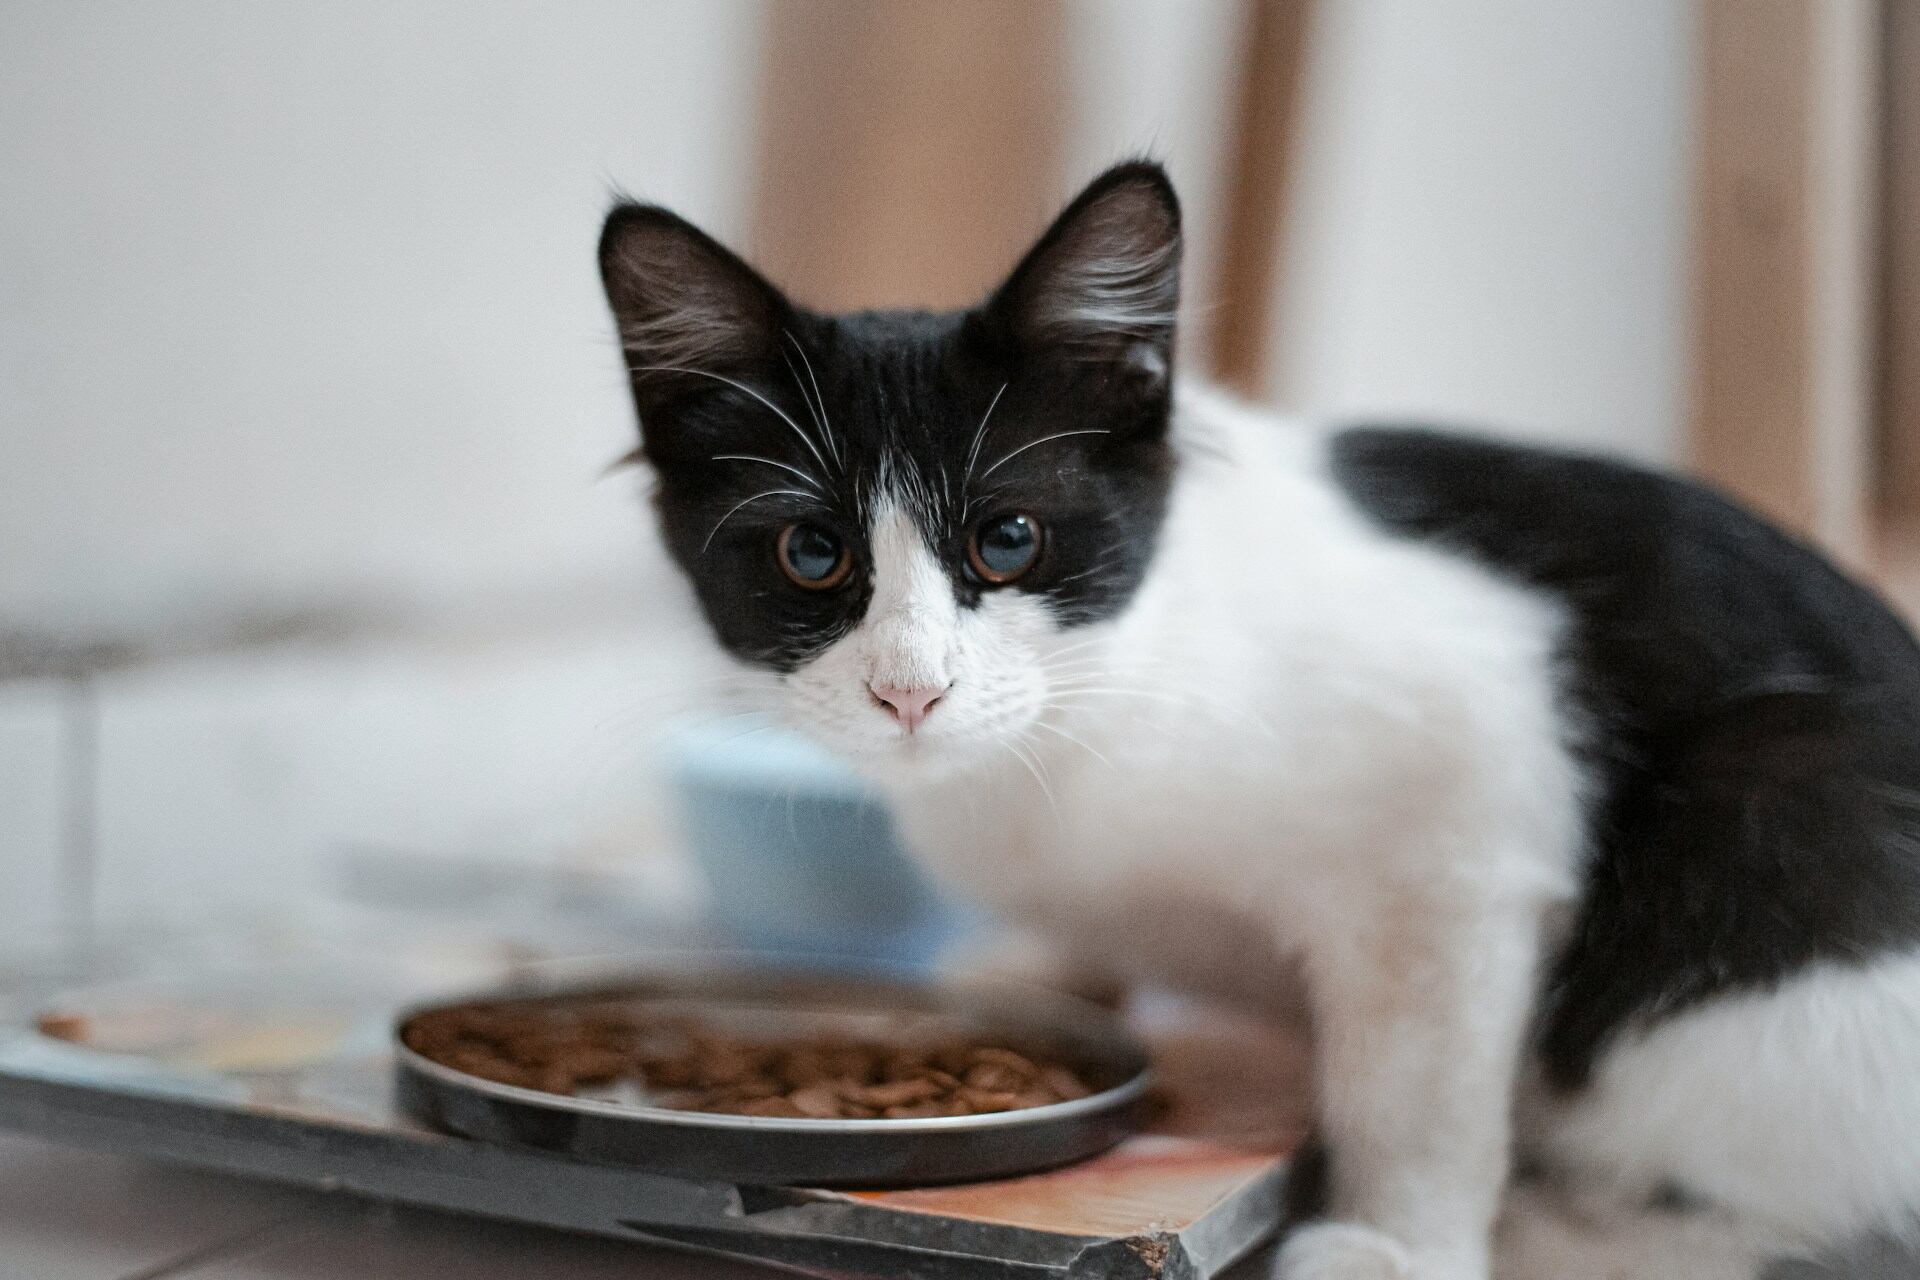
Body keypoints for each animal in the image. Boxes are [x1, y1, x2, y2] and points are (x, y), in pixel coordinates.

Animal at [595, 165, 1920, 1274]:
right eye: (812, 553)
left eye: (1009, 539)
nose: (910, 689)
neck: (1098, 702)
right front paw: (1046, 960)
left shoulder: (1461, 828)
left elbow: (1417, 1085)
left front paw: (1399, 1243)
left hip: (1776, 814)